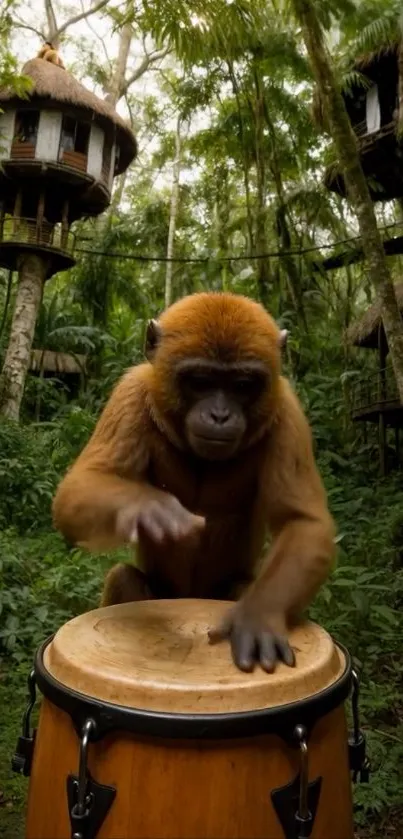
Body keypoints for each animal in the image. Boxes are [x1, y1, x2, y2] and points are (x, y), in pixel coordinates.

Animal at [52, 292, 336, 674]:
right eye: (200, 381)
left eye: (242, 386)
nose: (219, 415)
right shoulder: (132, 390)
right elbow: (82, 485)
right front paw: (148, 507)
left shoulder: (287, 410)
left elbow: (302, 522)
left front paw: (257, 615)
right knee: (123, 576)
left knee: (240, 585)